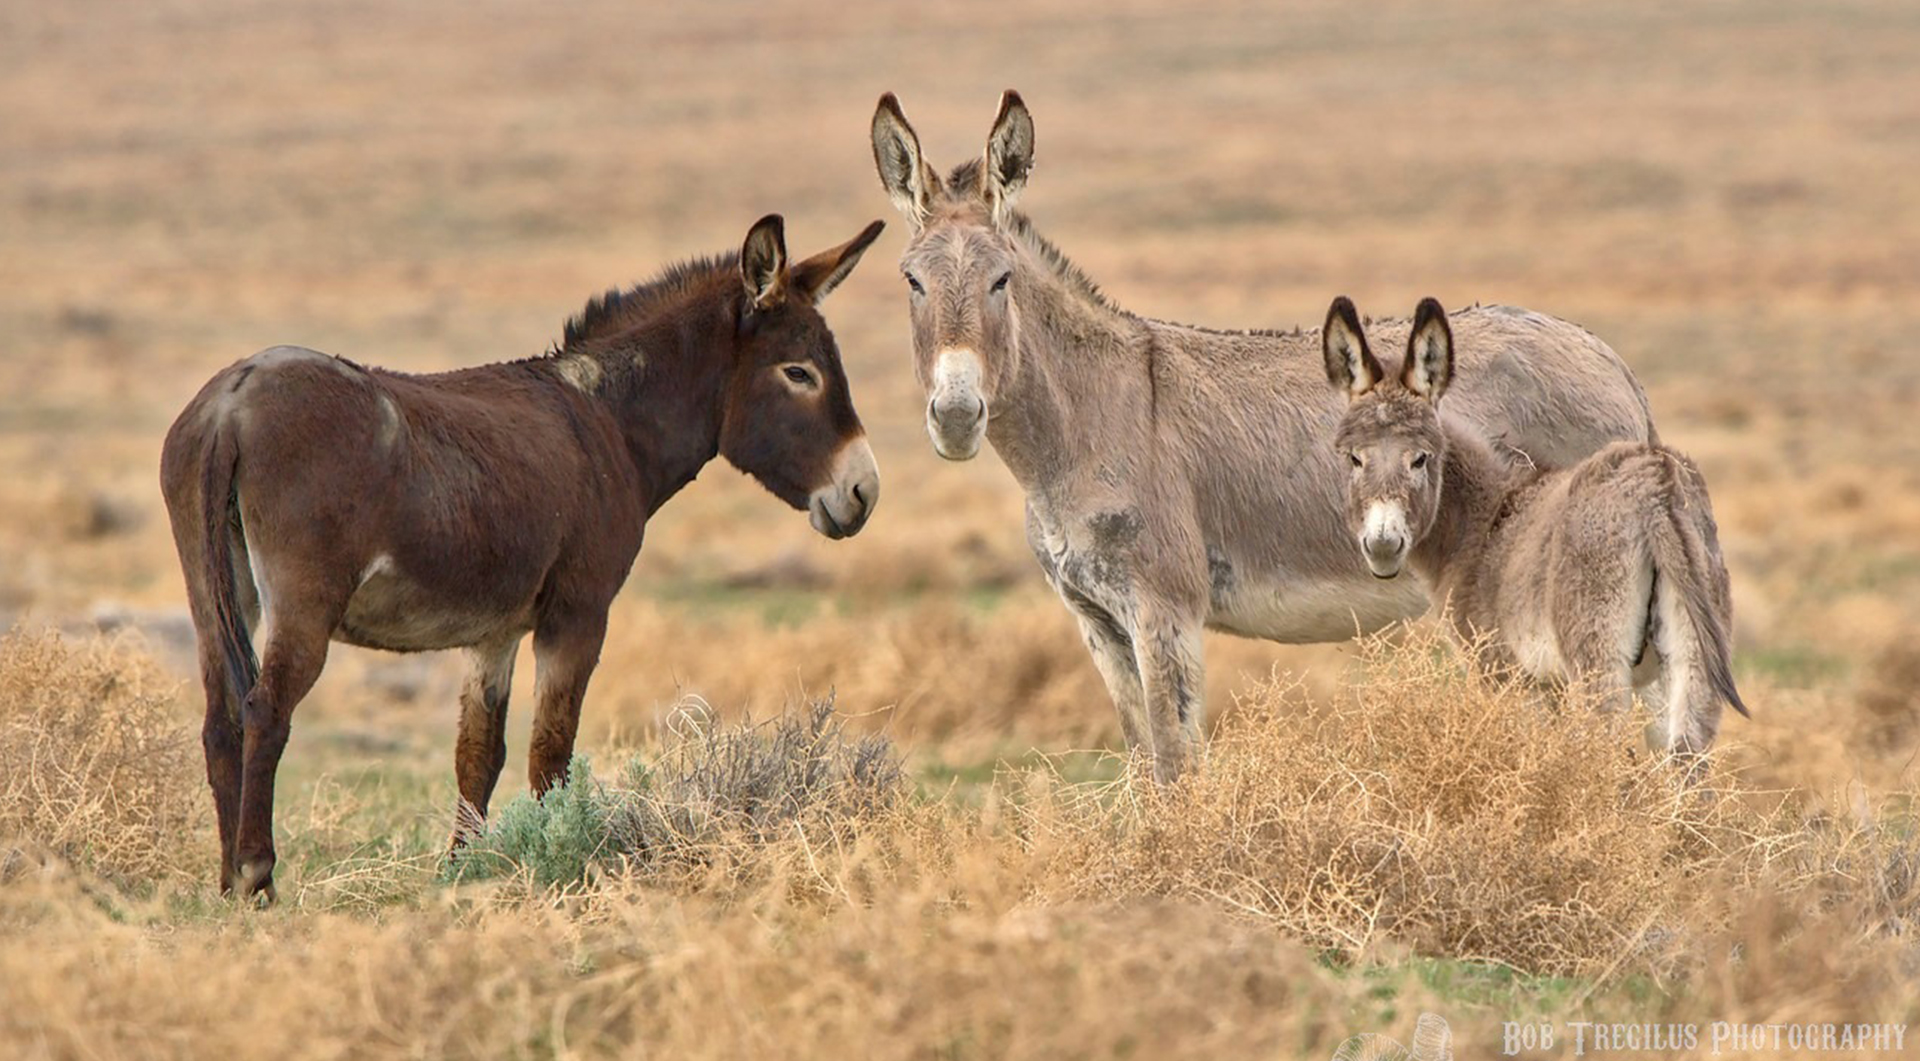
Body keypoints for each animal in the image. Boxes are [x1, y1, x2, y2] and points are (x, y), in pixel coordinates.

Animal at [165, 214, 883, 901]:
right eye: (799, 373)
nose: (864, 492)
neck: (609, 424)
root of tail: (234, 398)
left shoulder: (495, 633)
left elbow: (478, 752)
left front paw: (462, 869)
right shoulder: (579, 615)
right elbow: (551, 752)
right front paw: (551, 860)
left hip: (215, 589)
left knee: (220, 716)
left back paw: (226, 881)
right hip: (302, 600)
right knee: (265, 709)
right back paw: (255, 874)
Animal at [1328, 295, 1751, 771]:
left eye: (1421, 458)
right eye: (1354, 458)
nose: (1382, 545)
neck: (1485, 515)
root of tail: (1656, 482)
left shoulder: (1507, 675)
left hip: (1597, 656)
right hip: (1696, 652)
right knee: (1688, 757)